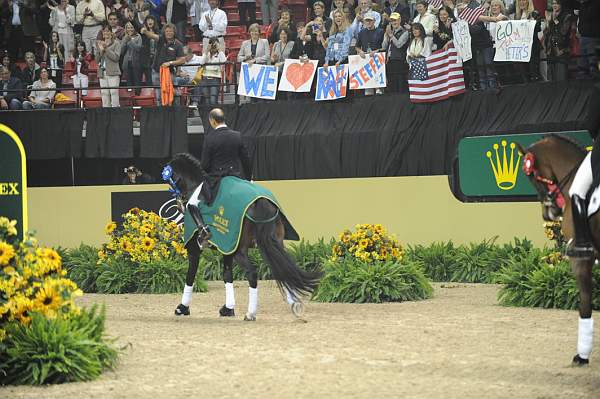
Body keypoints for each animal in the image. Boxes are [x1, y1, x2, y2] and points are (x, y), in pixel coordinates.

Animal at [164, 152, 322, 322]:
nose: (179, 204)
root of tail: (261, 201)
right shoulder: (227, 246)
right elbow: (227, 275)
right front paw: (228, 309)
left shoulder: (195, 248)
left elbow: (191, 275)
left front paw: (182, 308)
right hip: (273, 243)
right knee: (283, 268)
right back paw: (295, 306)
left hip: (241, 249)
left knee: (252, 273)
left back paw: (251, 313)